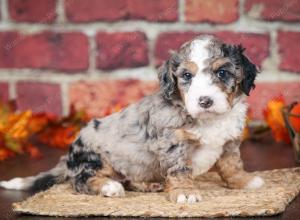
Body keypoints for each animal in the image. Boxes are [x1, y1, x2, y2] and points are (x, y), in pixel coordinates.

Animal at [0, 35, 264, 204]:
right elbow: (180, 169)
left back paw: (148, 185)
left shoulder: (229, 141)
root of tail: (68, 158)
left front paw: (244, 181)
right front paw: (185, 192)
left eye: (222, 72)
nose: (205, 101)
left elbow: (232, 164)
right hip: (96, 158)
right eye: (187, 76)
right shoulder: (172, 143)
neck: (209, 120)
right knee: (82, 181)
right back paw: (109, 187)